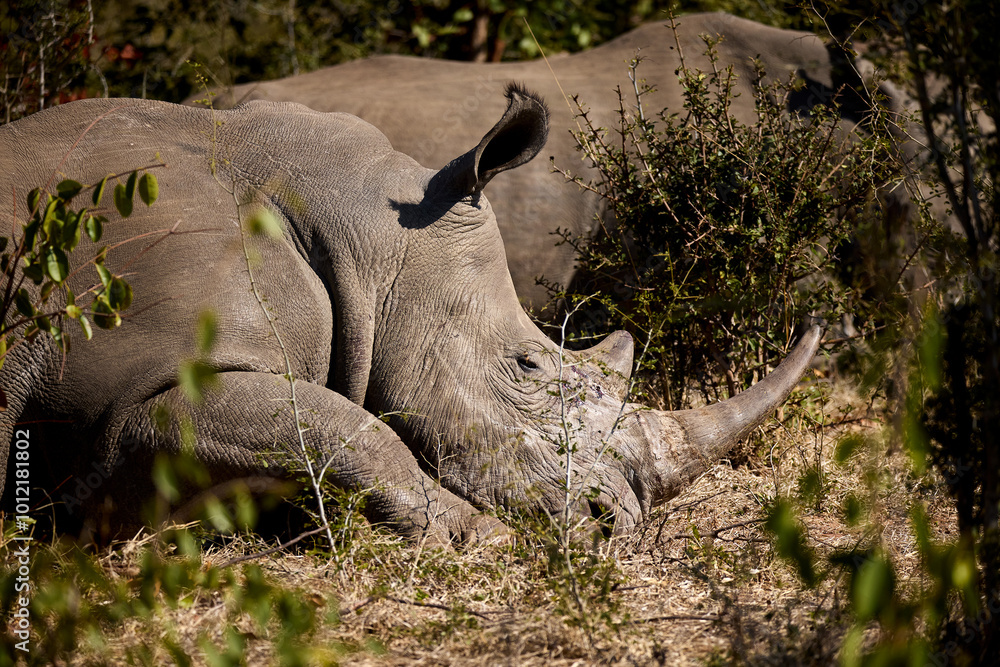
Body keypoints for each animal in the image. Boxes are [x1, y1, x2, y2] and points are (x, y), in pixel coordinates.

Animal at [0, 87, 820, 543]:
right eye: (526, 364)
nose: (612, 526)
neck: (362, 232)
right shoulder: (132, 384)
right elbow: (352, 430)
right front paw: (482, 539)